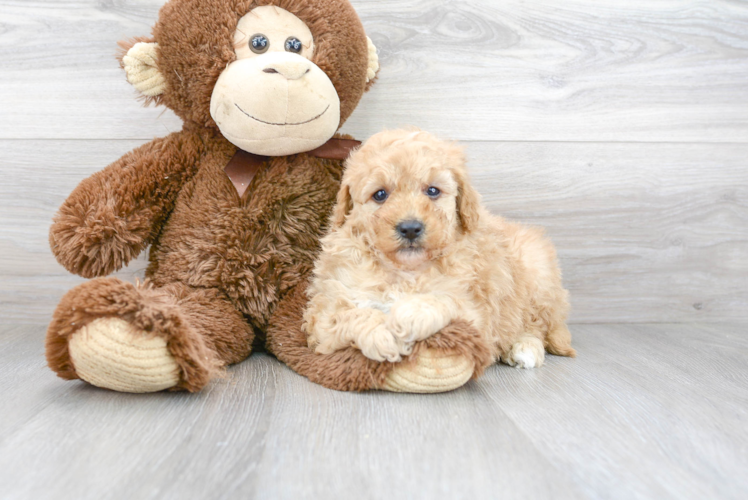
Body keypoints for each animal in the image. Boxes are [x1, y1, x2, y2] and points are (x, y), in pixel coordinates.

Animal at [300, 129, 576, 368]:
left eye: (432, 191)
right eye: (380, 195)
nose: (410, 228)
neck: (405, 271)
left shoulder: (476, 313)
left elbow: (444, 300)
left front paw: (410, 314)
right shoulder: (325, 309)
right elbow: (349, 315)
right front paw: (382, 334)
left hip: (537, 271)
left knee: (538, 324)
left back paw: (525, 348)